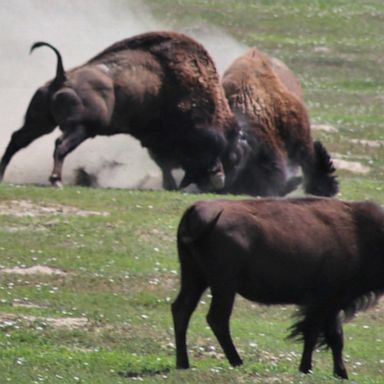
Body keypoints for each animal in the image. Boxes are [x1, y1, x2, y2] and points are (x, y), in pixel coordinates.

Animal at [0, 31, 237, 189]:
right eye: (208, 145)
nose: (219, 177)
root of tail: (63, 76)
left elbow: (162, 163)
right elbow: (163, 162)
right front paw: (169, 184)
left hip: (40, 123)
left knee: (17, 140)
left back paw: (2, 174)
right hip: (80, 129)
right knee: (60, 145)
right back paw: (56, 180)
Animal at [172, 196, 384, 380]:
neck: (362, 235)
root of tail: (194, 210)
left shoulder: (333, 303)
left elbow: (335, 337)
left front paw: (340, 374)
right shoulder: (324, 301)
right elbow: (315, 334)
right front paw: (307, 368)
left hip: (195, 278)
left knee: (182, 310)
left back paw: (183, 363)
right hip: (223, 286)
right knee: (217, 319)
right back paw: (237, 362)